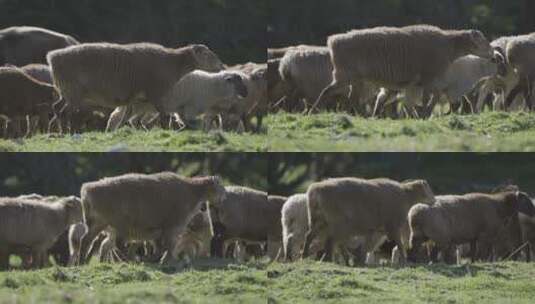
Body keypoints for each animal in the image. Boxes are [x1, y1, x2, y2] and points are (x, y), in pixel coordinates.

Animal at [44, 42, 224, 133]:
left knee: (57, 108)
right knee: (65, 112)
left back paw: (57, 132)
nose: (222, 66)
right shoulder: (156, 93)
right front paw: (165, 132)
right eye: (207, 55)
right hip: (73, 91)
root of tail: (53, 57)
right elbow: (164, 116)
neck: (175, 63)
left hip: (65, 92)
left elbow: (125, 118)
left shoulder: (135, 98)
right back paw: (67, 133)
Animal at [80, 172, 226, 264]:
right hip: (116, 225)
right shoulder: (172, 227)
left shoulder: (162, 231)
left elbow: (162, 247)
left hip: (99, 224)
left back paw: (81, 262)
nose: (224, 197)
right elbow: (168, 246)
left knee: (87, 241)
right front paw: (164, 260)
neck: (192, 191)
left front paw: (159, 259)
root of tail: (87, 189)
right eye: (221, 187)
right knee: (116, 245)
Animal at [302, 177, 436, 264]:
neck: (406, 196)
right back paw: (328, 259)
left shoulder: (375, 229)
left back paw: (306, 255)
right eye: (428, 190)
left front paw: (360, 260)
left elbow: (367, 246)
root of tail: (316, 189)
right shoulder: (393, 226)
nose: (434, 200)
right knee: (331, 241)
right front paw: (404, 260)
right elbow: (399, 244)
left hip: (318, 221)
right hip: (335, 223)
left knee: (311, 236)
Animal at [312, 24, 496, 114]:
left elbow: (433, 98)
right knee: (331, 93)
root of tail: (333, 41)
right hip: (345, 76)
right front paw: (423, 113)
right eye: (481, 41)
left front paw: (423, 113)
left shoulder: (425, 82)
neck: (449, 46)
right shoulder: (428, 79)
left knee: (350, 99)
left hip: (354, 80)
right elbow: (428, 99)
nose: (494, 55)